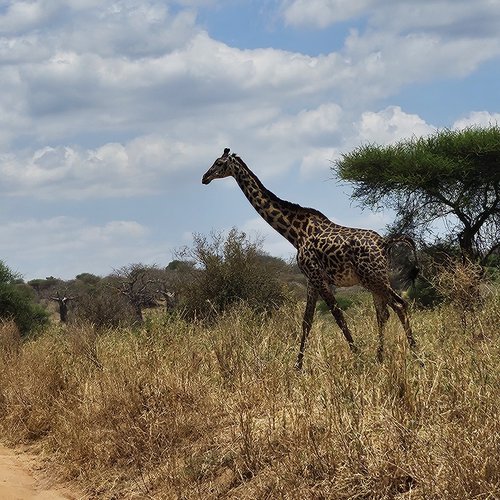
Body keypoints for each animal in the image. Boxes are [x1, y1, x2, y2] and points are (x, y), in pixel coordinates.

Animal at [201, 146, 420, 370]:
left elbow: (338, 316)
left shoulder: (317, 276)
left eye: (219, 163)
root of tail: (385, 243)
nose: (204, 178)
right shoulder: (311, 280)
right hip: (375, 279)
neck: (295, 233)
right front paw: (297, 366)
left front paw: (358, 358)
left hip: (374, 278)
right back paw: (381, 358)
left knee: (399, 305)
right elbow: (307, 321)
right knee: (383, 313)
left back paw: (417, 357)